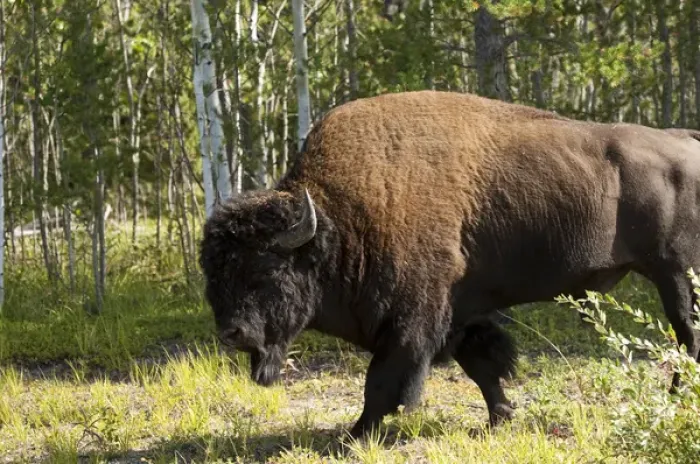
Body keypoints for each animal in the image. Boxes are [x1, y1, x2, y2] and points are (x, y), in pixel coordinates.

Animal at [199, 90, 700, 438]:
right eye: (212, 272)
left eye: (264, 270)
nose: (231, 333)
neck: (338, 218)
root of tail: (685, 140)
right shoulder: (459, 311)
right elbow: (482, 364)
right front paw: (501, 419)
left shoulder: (413, 321)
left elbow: (384, 383)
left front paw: (354, 436)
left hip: (675, 273)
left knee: (687, 335)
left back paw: (678, 397)